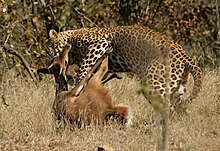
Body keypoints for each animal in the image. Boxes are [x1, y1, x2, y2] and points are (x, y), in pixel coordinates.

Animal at [47, 25, 203, 115]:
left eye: (51, 47)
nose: (50, 59)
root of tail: (186, 57)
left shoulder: (99, 44)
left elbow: (84, 70)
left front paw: (78, 82)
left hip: (154, 83)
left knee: (166, 108)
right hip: (173, 87)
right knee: (177, 107)